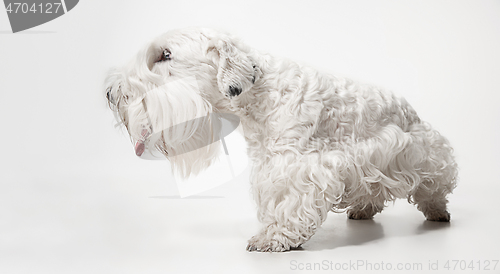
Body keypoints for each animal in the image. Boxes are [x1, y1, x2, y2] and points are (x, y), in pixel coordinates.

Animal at [104, 27, 458, 253]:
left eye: (165, 55)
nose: (111, 92)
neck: (259, 92)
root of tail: (411, 113)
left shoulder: (298, 166)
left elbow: (289, 205)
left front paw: (274, 238)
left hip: (423, 154)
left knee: (432, 185)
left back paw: (437, 211)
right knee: (372, 189)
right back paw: (363, 209)